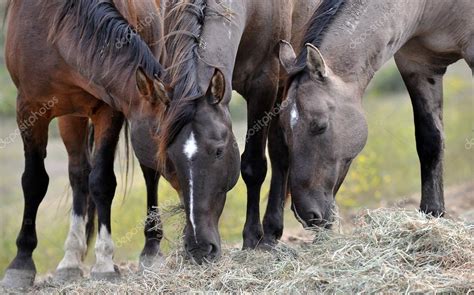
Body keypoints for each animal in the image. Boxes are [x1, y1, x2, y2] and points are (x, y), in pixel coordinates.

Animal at [1, 0, 168, 288]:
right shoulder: (29, 109)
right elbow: (34, 181)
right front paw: (21, 262)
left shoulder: (110, 108)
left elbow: (102, 181)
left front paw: (104, 263)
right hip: (70, 115)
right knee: (78, 173)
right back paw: (70, 260)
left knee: (148, 175)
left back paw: (151, 247)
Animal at [157, 0, 320, 262]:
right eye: (171, 157)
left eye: (219, 151)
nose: (200, 248)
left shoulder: (265, 84)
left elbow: (254, 166)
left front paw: (253, 238)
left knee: (279, 152)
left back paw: (271, 231)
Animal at [278, 0, 474, 229]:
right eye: (284, 130)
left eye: (320, 125)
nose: (307, 214)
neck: (429, 7)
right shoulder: (418, 66)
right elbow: (430, 141)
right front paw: (432, 213)